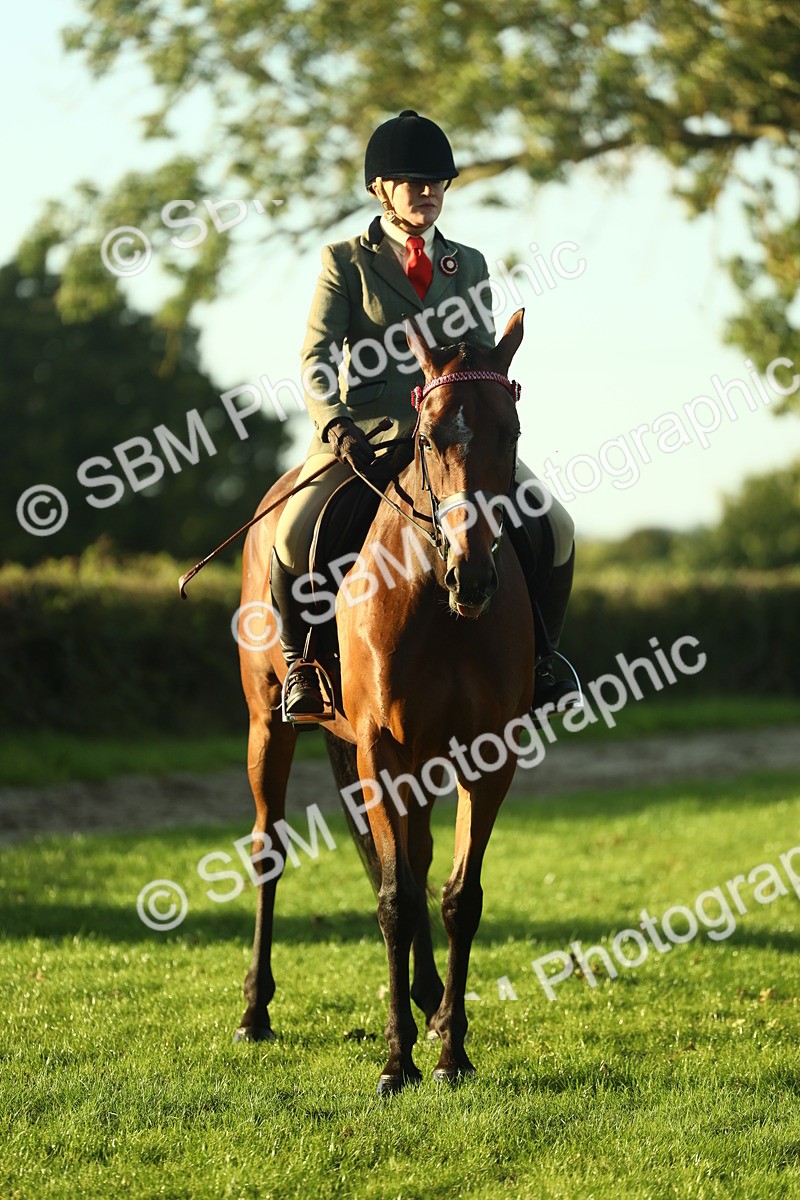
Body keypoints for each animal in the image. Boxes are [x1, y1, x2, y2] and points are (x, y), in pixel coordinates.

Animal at [235, 308, 535, 1093]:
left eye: (512, 432)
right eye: (429, 438)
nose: (473, 576)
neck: (433, 593)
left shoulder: (488, 755)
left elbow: (458, 895)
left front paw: (451, 1050)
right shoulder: (379, 747)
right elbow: (395, 900)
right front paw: (397, 1062)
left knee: (420, 855)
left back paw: (429, 997)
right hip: (268, 723)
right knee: (270, 847)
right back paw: (255, 1012)